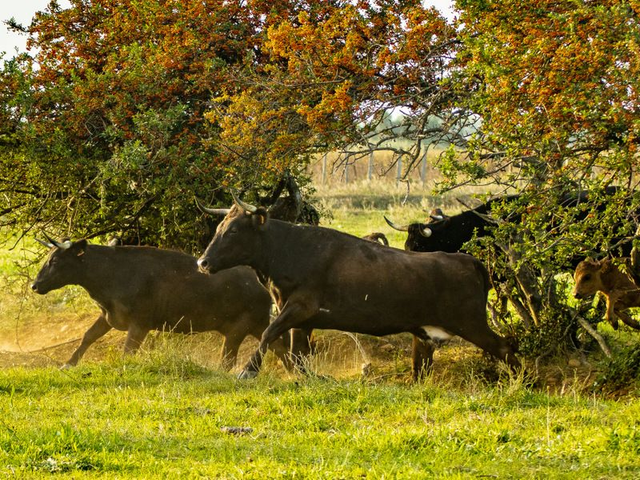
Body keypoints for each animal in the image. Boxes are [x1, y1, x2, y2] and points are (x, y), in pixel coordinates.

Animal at [31, 237, 290, 369]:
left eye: (55, 261)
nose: (35, 285)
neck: (110, 274)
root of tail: (264, 286)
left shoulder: (140, 324)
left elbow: (128, 352)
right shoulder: (108, 316)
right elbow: (88, 336)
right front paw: (68, 364)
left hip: (237, 330)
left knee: (228, 361)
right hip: (257, 326)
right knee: (282, 350)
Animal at [197, 197, 519, 380]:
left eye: (234, 230)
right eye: (220, 228)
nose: (203, 262)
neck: (289, 249)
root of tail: (470, 261)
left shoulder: (299, 308)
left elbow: (269, 334)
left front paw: (248, 371)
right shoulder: (302, 319)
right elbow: (296, 353)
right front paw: (309, 378)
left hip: (471, 323)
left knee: (505, 347)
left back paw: (519, 382)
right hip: (427, 333)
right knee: (422, 365)